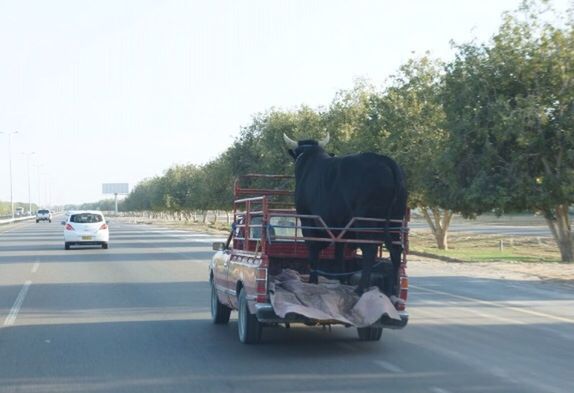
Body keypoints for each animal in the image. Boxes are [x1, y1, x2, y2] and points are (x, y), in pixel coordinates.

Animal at [286, 136, 408, 296]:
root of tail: (385, 160)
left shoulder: (308, 219)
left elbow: (314, 247)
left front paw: (313, 280)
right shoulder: (340, 225)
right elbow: (339, 252)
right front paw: (341, 280)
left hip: (365, 221)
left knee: (369, 250)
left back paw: (361, 289)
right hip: (395, 219)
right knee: (395, 250)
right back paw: (393, 290)